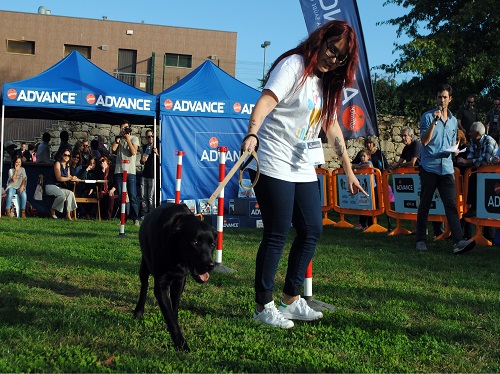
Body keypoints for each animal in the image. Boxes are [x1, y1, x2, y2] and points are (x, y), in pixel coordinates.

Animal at [133, 202, 217, 350]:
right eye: (195, 242)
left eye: (212, 244)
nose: (210, 265)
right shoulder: (160, 286)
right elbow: (169, 315)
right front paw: (181, 344)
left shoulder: (180, 281)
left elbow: (174, 308)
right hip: (144, 265)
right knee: (144, 285)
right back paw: (138, 311)